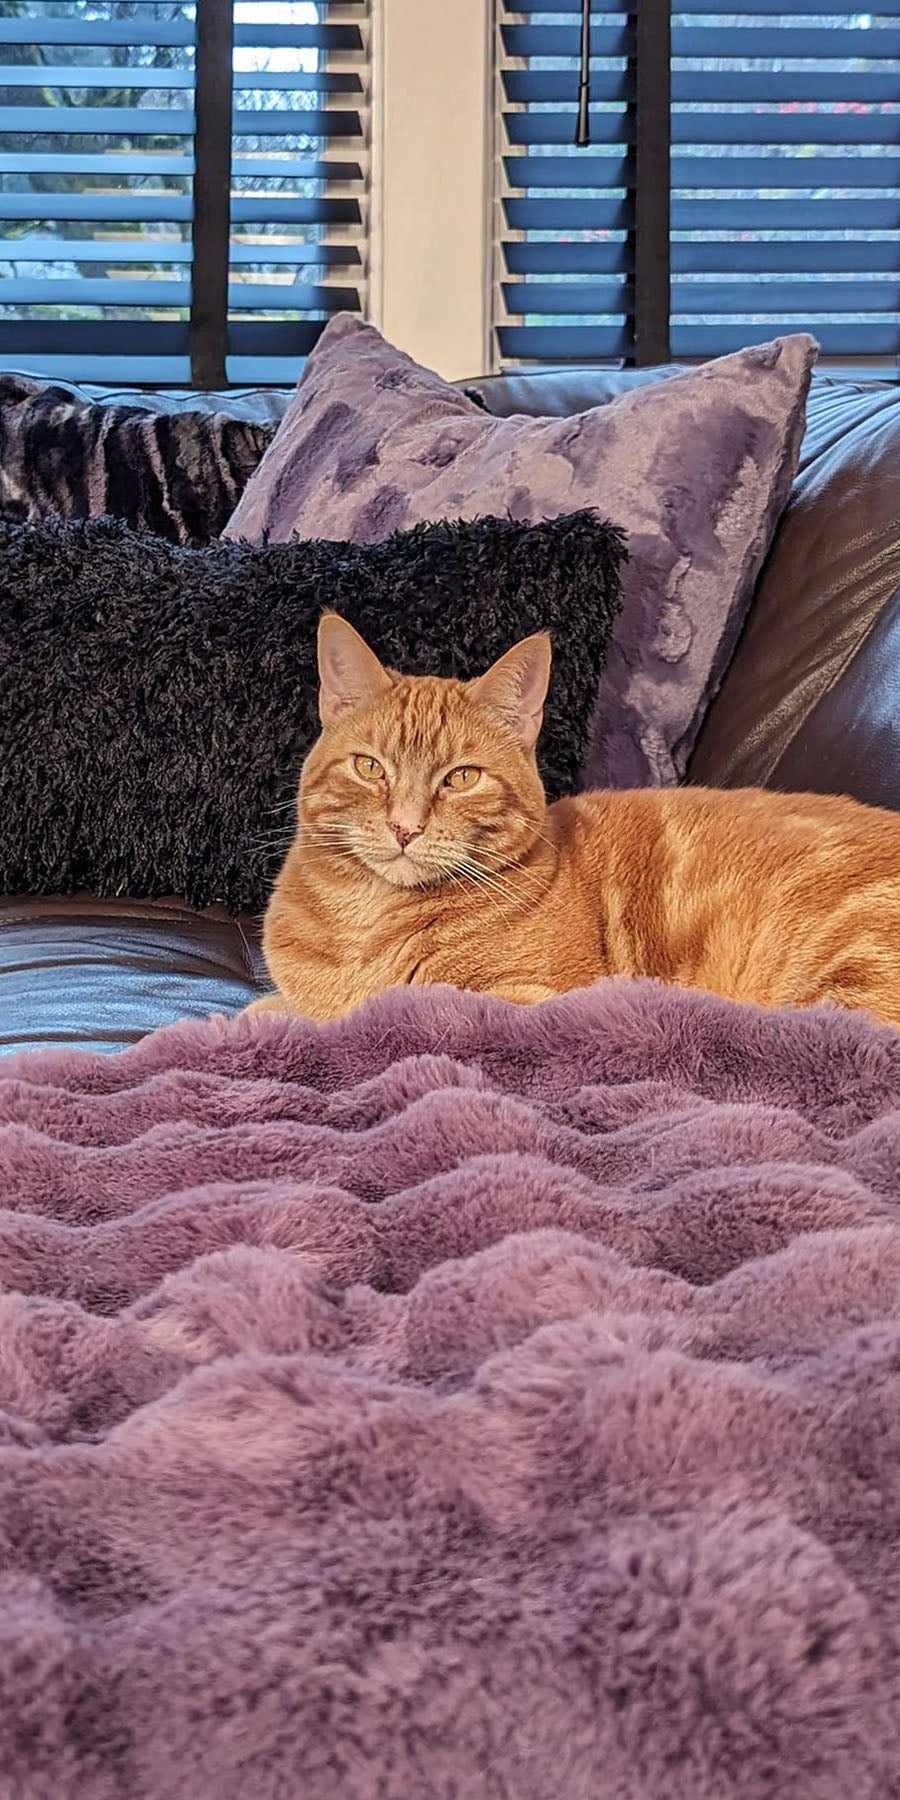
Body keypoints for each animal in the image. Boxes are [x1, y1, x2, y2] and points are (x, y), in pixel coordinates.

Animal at [248, 608, 900, 1029]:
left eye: (461, 777)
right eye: (369, 767)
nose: (406, 827)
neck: (366, 920)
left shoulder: (524, 994)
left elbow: (375, 1010)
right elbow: (271, 1009)